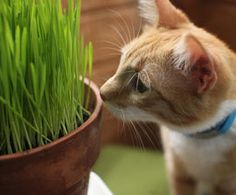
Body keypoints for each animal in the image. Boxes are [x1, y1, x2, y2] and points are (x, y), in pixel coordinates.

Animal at [99, 0, 236, 194]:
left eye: (140, 85)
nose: (101, 92)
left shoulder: (227, 186)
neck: (199, 139)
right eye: (121, 61)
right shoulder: (178, 176)